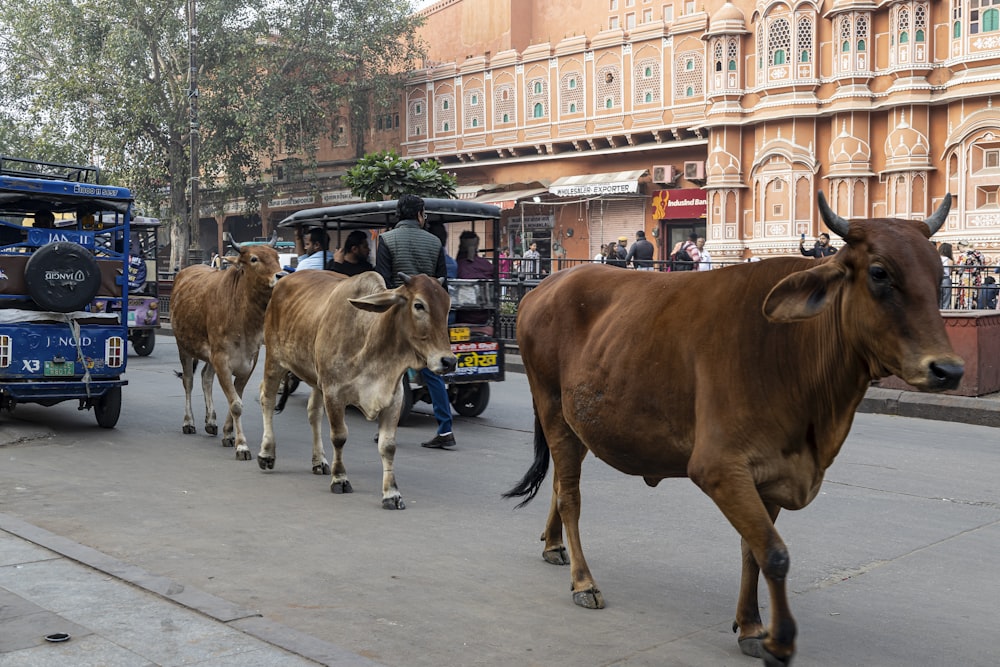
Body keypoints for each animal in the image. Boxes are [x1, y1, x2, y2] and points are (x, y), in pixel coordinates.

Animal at [171, 243, 288, 462]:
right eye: (254, 259)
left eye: (277, 257)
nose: (281, 275)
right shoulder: (221, 360)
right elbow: (235, 404)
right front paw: (241, 446)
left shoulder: (248, 362)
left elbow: (237, 397)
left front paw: (228, 433)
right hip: (184, 347)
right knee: (188, 381)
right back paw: (188, 421)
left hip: (209, 356)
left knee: (206, 378)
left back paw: (210, 421)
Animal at [256, 268, 456, 508]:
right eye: (419, 305)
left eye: (448, 307)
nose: (449, 361)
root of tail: (284, 279)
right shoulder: (334, 393)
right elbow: (339, 436)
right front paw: (340, 478)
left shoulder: (393, 398)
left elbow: (388, 446)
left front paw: (391, 493)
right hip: (274, 360)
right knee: (267, 399)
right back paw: (267, 453)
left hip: (316, 379)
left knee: (313, 413)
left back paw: (319, 460)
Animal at [504, 194, 964, 667]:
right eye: (879, 273)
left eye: (938, 274)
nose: (948, 370)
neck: (793, 350)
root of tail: (546, 285)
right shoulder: (720, 469)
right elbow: (775, 553)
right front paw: (779, 641)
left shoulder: (772, 473)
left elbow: (754, 551)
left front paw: (750, 626)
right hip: (551, 406)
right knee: (571, 496)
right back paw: (584, 581)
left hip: (579, 421)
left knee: (560, 482)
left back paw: (553, 544)